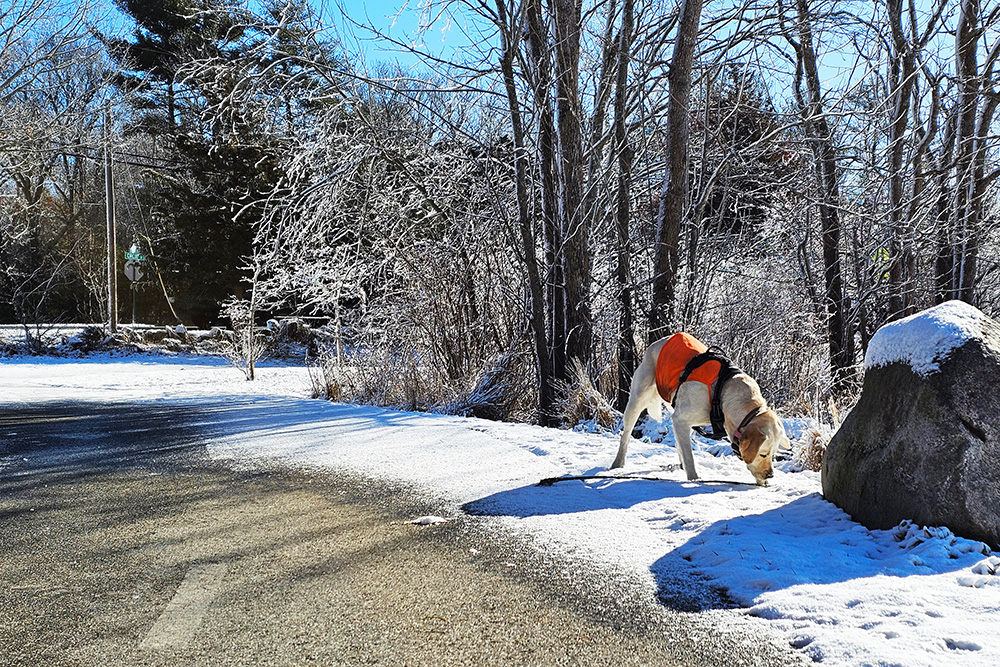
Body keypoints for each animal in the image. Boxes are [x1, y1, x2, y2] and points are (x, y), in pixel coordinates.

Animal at [608, 334, 788, 486]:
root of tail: (659, 342)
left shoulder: (681, 420)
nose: (771, 475)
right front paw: (694, 479)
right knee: (626, 435)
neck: (722, 394)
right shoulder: (681, 419)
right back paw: (617, 463)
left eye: (773, 454)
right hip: (637, 401)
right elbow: (689, 456)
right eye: (763, 454)